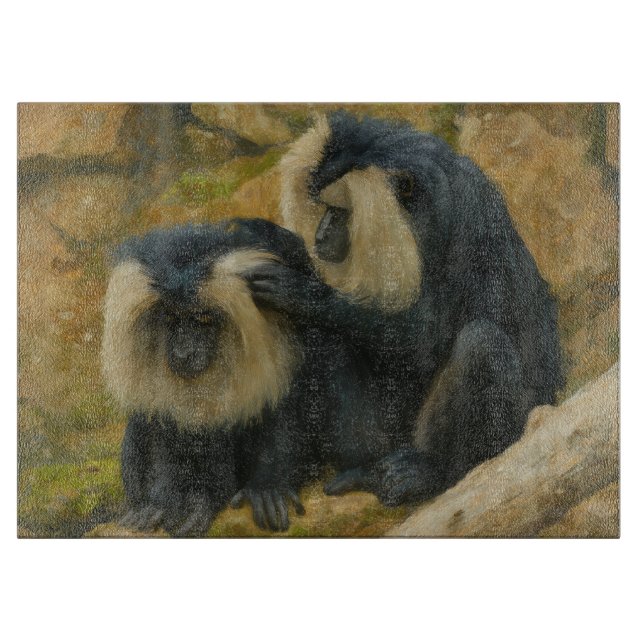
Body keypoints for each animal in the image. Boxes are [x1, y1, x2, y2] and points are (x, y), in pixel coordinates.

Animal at [101, 217, 388, 536]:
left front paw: (264, 488)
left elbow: (283, 401)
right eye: (171, 317)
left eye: (202, 318)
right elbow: (159, 421)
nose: (183, 352)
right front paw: (164, 501)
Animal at [243, 111, 564, 507]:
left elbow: (426, 341)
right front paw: (269, 480)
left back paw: (432, 473)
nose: (320, 235)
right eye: (324, 209)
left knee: (482, 344)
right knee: (319, 336)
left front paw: (302, 292)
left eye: (339, 212)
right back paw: (359, 471)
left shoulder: (471, 220)